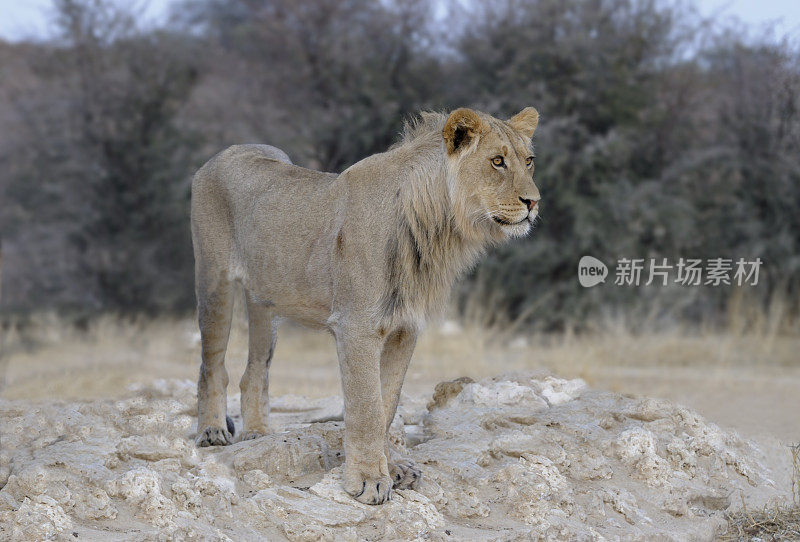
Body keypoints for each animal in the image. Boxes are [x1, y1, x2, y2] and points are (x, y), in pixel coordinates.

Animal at [191, 106, 540, 506]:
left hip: (266, 299)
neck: (436, 228)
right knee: (212, 364)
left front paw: (393, 468)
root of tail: (226, 152)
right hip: (214, 281)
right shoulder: (356, 326)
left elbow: (387, 404)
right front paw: (369, 479)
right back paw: (212, 431)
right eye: (497, 161)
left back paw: (259, 433)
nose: (534, 203)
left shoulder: (405, 328)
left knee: (255, 370)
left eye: (528, 162)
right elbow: (367, 407)